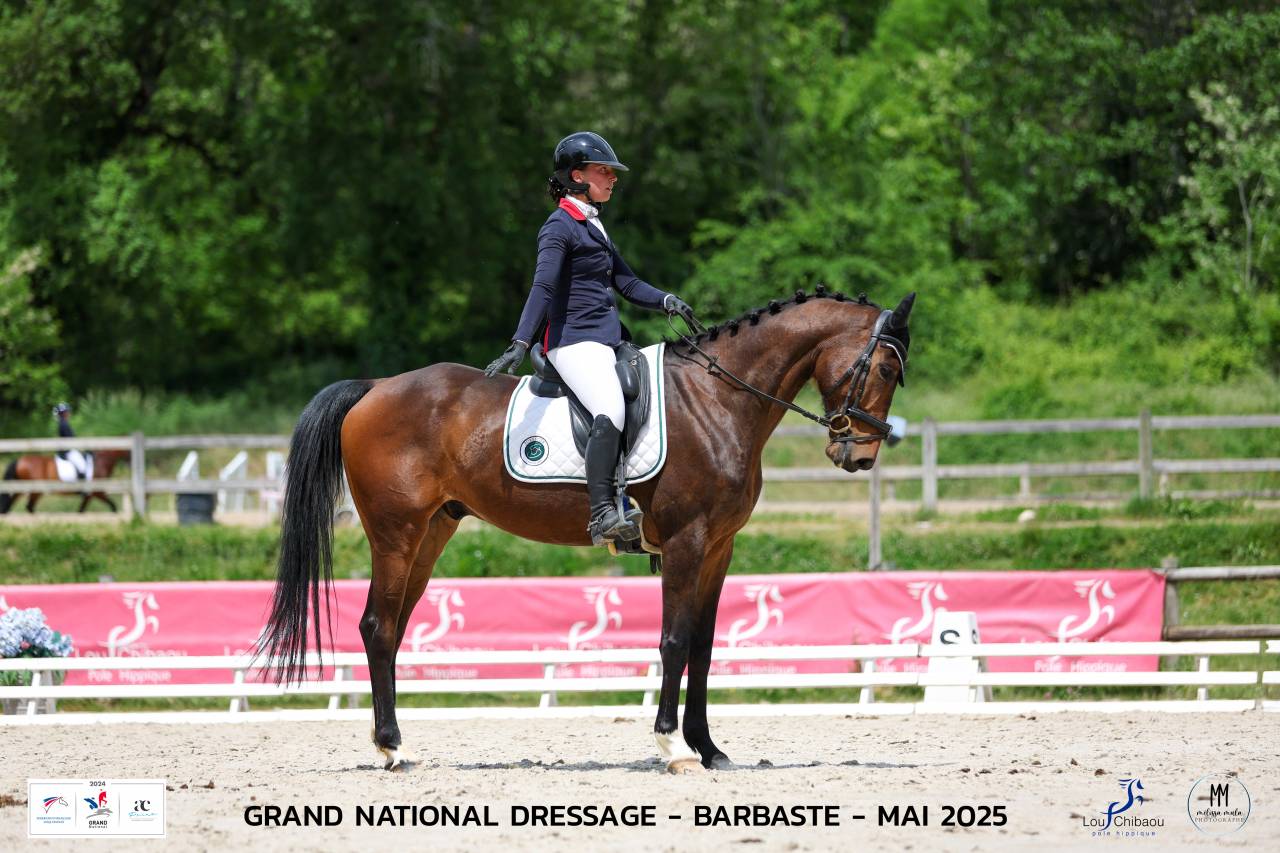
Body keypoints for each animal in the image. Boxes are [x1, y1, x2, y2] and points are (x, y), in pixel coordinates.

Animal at [0, 449, 130, 514]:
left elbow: (81, 511)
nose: (129, 465)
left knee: (14, 505)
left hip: (23, 489)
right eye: (129, 452)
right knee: (28, 507)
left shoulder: (89, 495)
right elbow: (113, 506)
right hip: (35, 490)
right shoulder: (97, 492)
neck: (100, 463)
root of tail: (20, 460)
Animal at [258, 287, 914, 772]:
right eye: (885, 366)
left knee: (391, 629)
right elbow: (674, 641)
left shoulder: (719, 548)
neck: (719, 399)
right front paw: (674, 747)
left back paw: (395, 744)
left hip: (431, 534)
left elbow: (703, 647)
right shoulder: (687, 541)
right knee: (375, 626)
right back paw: (393, 749)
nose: (859, 454)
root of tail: (375, 388)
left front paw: (710, 750)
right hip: (396, 534)